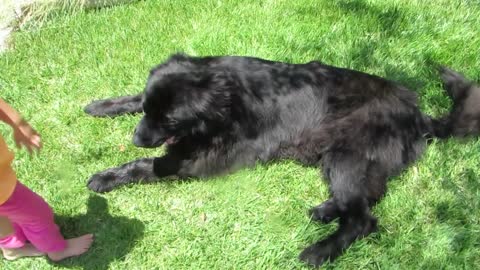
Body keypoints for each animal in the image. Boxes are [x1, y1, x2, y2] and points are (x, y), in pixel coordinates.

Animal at [83, 53, 480, 266]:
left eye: (169, 121)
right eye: (151, 111)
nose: (135, 139)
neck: (225, 95)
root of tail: (419, 116)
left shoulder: (207, 158)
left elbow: (153, 164)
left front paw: (106, 177)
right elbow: (134, 100)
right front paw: (102, 105)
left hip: (345, 152)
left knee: (363, 218)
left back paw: (319, 250)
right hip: (341, 157)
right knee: (369, 195)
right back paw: (325, 211)